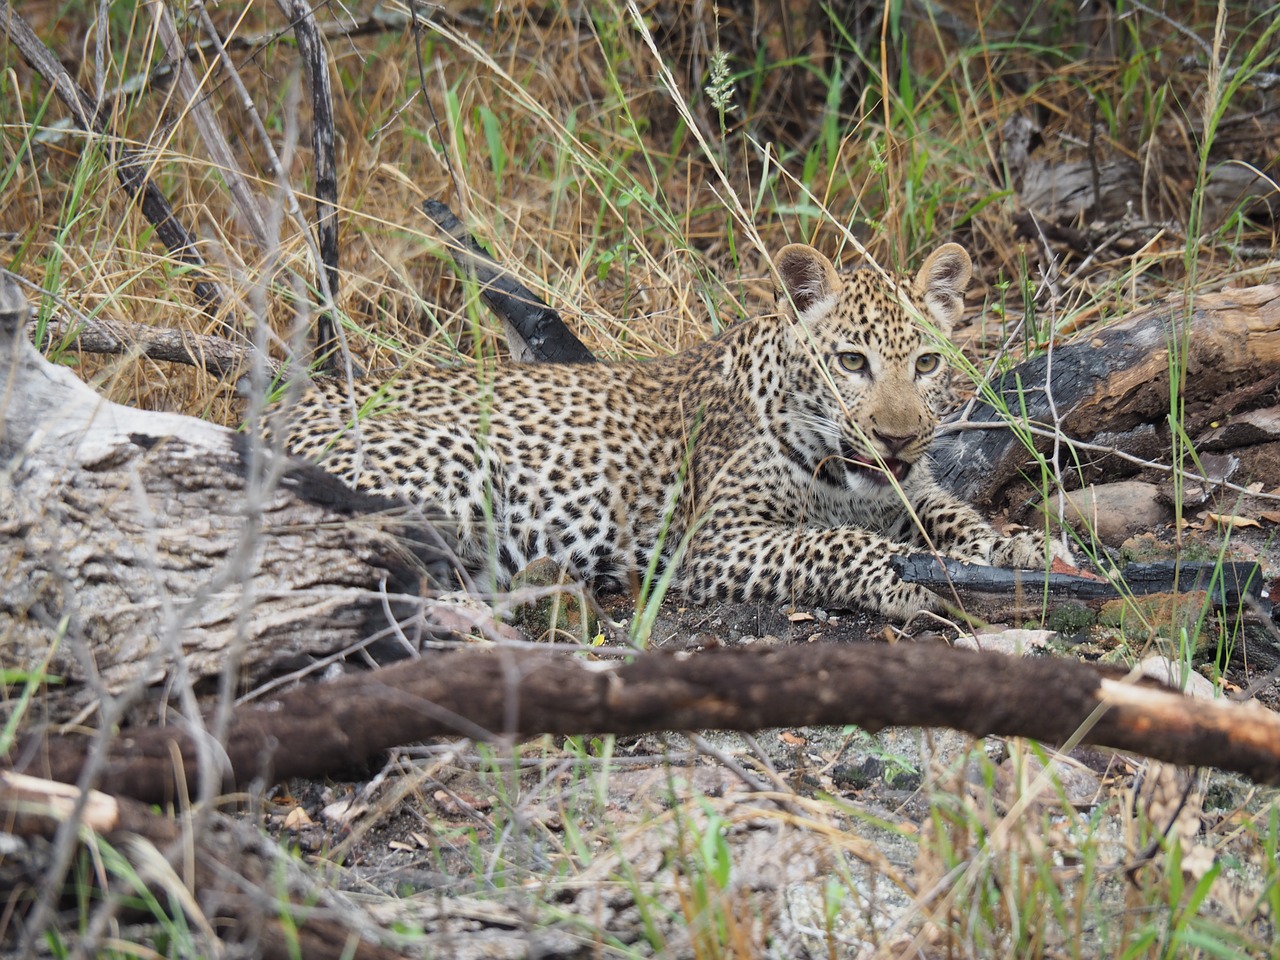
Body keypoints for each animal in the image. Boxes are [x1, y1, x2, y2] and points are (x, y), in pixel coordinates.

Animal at [282, 241, 1070, 624]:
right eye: (852, 362)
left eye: (926, 363)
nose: (899, 437)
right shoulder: (716, 540)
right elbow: (836, 542)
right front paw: (904, 580)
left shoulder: (908, 493)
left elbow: (953, 514)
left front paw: (1024, 550)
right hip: (453, 456)